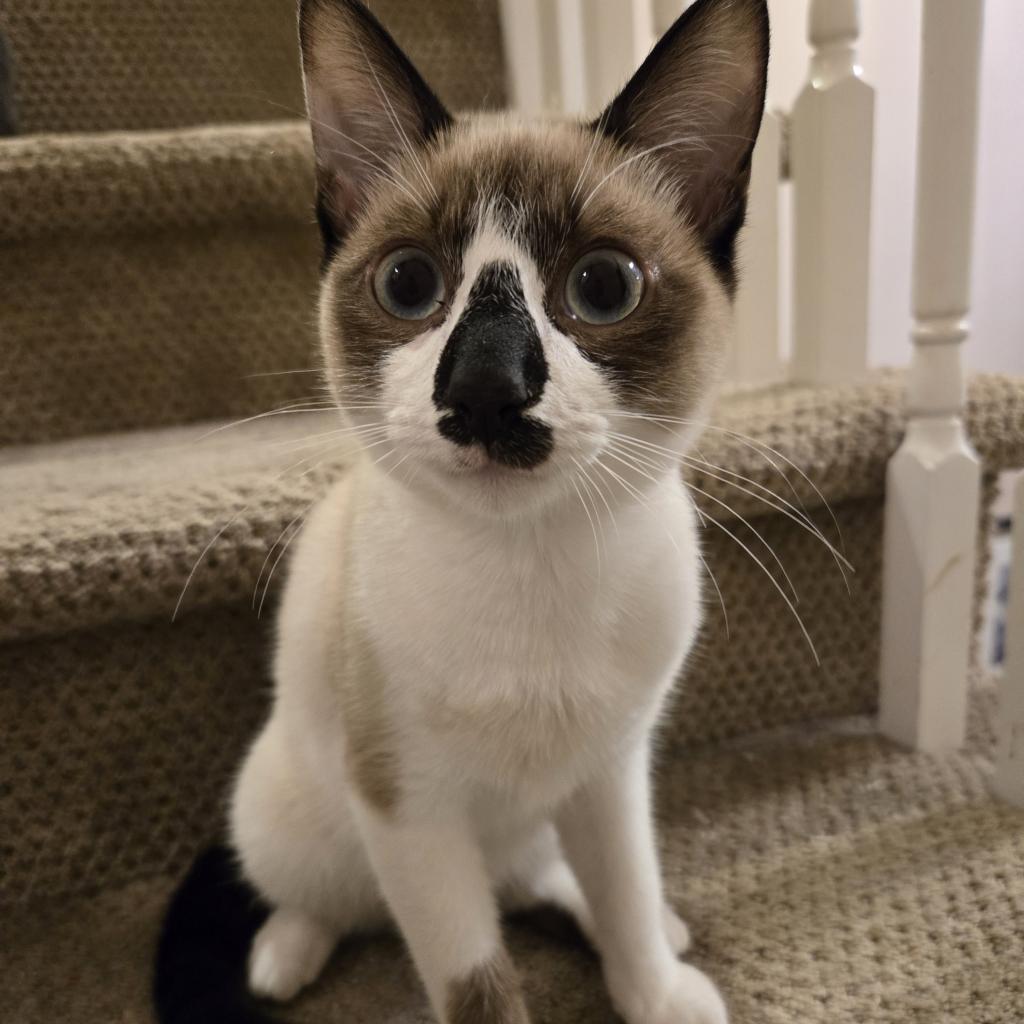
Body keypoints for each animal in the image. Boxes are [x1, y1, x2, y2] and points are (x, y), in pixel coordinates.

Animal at [153, 2, 770, 1024]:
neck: (530, 566)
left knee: (545, 879)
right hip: (298, 805)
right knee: (323, 894)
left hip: (548, 813)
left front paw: (650, 987)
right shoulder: (412, 813)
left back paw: (639, 929)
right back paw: (282, 956)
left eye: (604, 287)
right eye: (409, 285)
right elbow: (474, 981)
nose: (486, 388)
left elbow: (626, 887)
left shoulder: (610, 769)